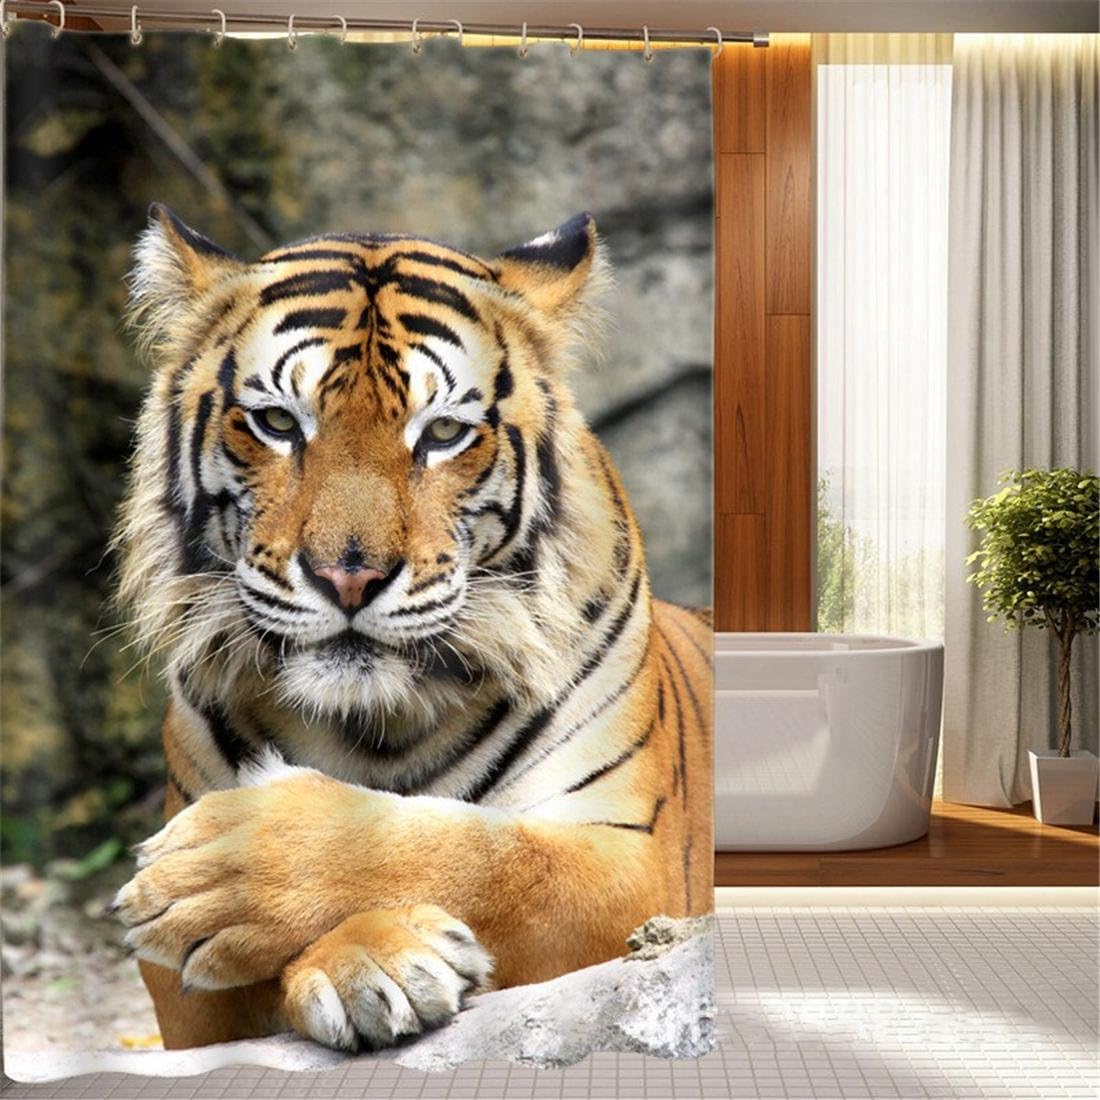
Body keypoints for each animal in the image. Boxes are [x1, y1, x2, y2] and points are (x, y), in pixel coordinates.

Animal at [110, 204, 713, 1052]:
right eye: (276, 423)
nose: (348, 576)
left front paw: (230, 871)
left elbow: (490, 855)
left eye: (443, 434)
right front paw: (373, 960)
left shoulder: (639, 861)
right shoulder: (190, 1006)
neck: (376, 726)